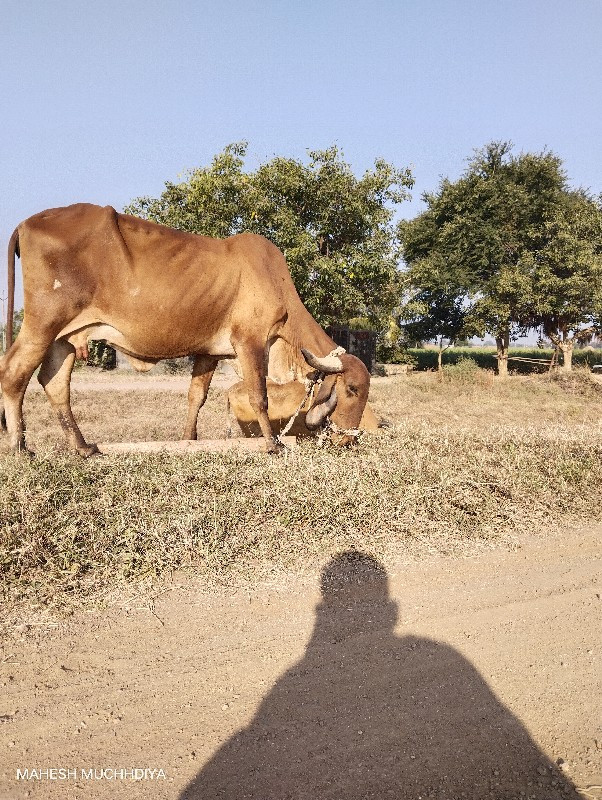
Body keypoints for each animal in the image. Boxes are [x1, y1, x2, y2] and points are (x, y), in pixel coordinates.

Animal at [1, 205, 370, 456]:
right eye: (351, 389)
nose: (347, 440)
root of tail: (26, 223)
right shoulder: (250, 342)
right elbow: (259, 396)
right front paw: (273, 444)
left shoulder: (210, 353)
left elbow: (196, 397)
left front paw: (189, 440)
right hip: (42, 325)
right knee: (13, 374)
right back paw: (21, 447)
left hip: (64, 337)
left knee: (54, 384)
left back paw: (82, 447)